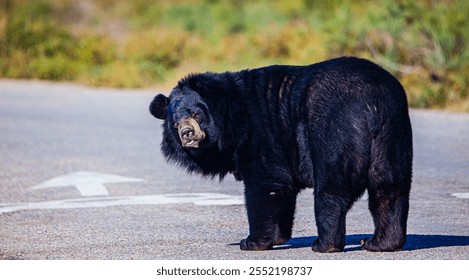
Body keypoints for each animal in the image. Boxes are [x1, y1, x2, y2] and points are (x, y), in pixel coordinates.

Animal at [149, 55, 410, 253]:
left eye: (197, 114)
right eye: (175, 123)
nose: (187, 133)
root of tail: (372, 101)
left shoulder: (262, 134)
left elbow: (266, 185)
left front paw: (251, 242)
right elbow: (282, 190)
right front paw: (275, 237)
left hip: (335, 130)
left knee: (331, 190)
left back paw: (324, 244)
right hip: (391, 135)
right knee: (389, 188)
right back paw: (379, 243)